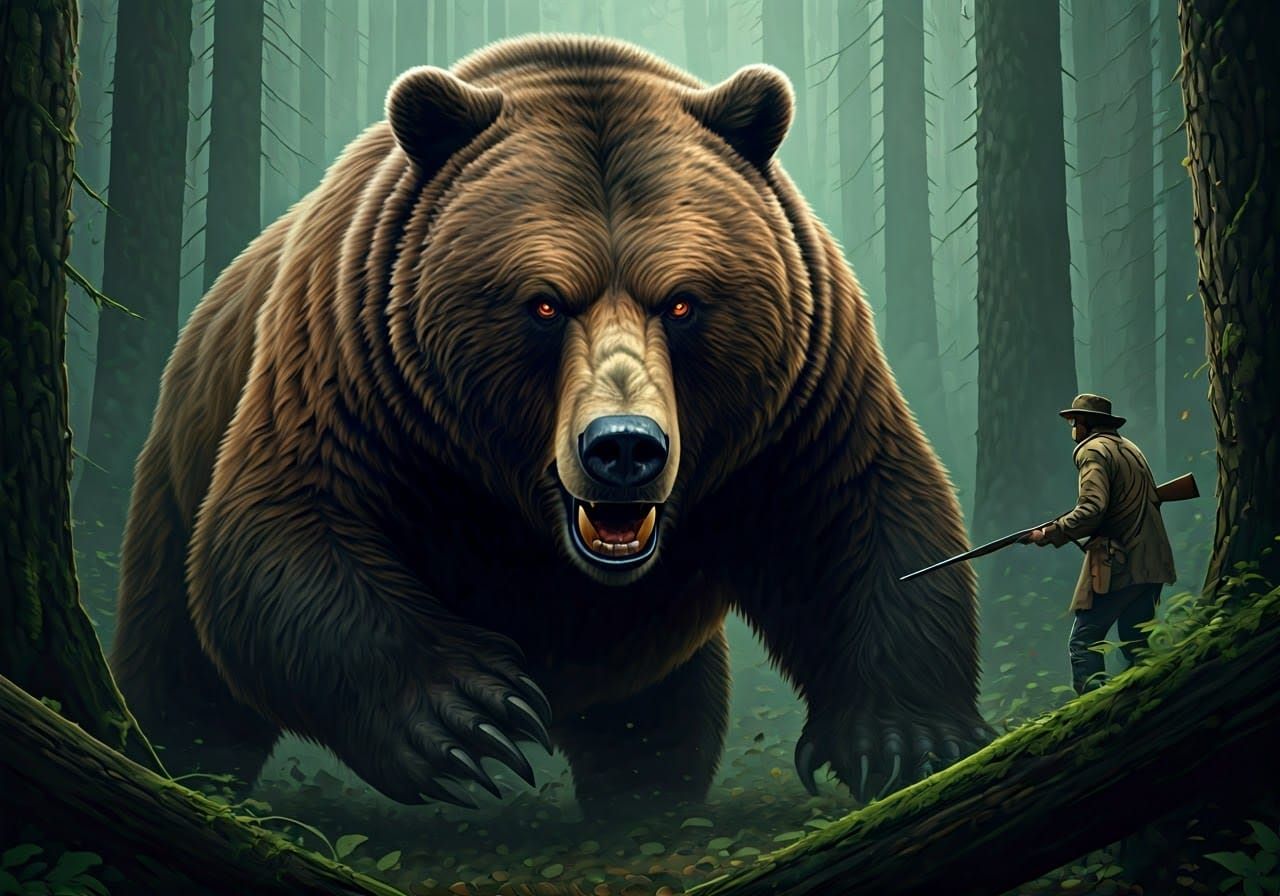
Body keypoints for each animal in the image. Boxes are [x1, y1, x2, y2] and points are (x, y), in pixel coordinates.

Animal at [111, 34, 988, 816]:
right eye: (542, 302)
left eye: (683, 302)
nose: (624, 448)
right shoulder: (355, 370)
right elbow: (281, 534)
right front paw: (473, 717)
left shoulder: (799, 391)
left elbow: (860, 516)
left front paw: (905, 740)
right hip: (175, 467)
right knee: (182, 678)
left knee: (660, 719)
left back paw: (643, 798)